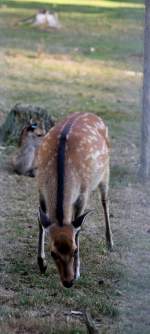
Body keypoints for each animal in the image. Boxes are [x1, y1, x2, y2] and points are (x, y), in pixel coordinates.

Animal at [37, 112, 113, 288]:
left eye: (75, 250)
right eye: (53, 253)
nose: (68, 282)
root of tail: (91, 113)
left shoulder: (83, 194)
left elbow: (78, 230)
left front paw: (78, 271)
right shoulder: (39, 188)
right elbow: (40, 223)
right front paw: (41, 263)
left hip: (106, 171)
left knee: (105, 201)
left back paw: (110, 243)